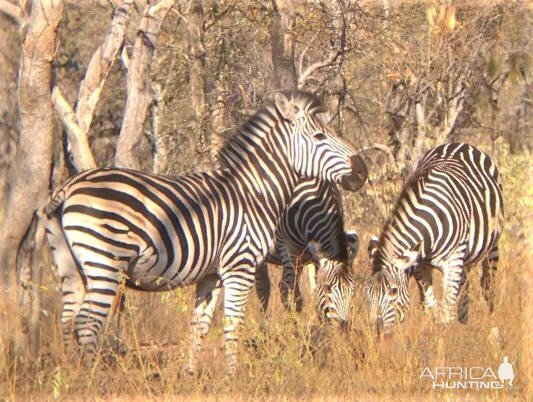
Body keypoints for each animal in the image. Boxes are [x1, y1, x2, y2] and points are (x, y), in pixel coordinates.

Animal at [254, 177, 362, 322]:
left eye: (353, 288)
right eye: (327, 288)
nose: (343, 326)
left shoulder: (312, 257)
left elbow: (313, 293)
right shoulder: (289, 250)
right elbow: (288, 292)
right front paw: (295, 325)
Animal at [362, 143, 502, 338]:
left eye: (393, 291)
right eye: (367, 292)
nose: (376, 334)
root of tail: (459, 144)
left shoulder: (452, 261)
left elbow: (445, 312)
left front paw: (444, 342)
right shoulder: (421, 265)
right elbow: (430, 309)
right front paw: (432, 337)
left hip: (490, 249)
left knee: (488, 287)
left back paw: (490, 328)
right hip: (465, 260)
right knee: (464, 289)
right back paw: (463, 325)